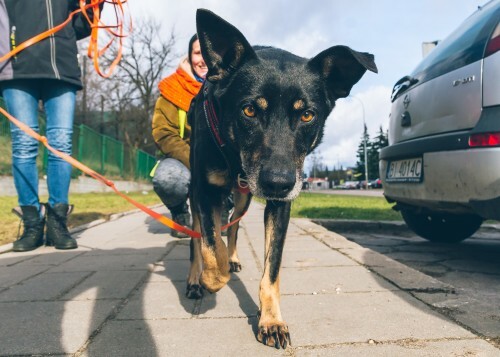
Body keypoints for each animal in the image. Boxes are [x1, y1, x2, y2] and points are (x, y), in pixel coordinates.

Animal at [187, 8, 376, 348]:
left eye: (307, 114)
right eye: (249, 110)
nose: (278, 183)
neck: (234, 154)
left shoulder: (280, 205)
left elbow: (270, 270)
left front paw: (271, 320)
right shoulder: (205, 191)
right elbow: (209, 247)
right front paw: (211, 277)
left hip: (245, 195)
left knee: (233, 223)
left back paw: (232, 257)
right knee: (199, 235)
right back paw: (196, 278)